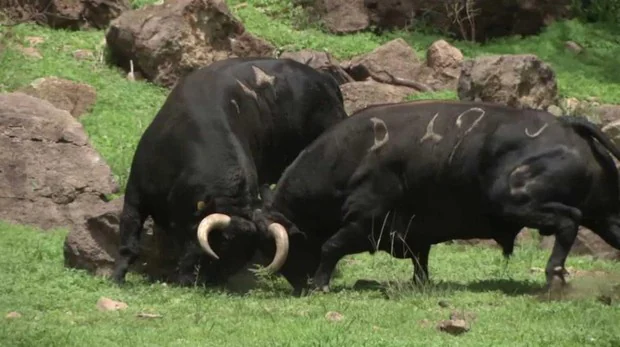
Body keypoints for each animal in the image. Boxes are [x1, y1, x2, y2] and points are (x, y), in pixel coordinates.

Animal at [260, 99, 620, 294]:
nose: (296, 284)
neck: (350, 155)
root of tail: (567, 125)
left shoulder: (365, 221)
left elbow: (331, 246)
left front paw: (320, 283)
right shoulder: (414, 235)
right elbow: (421, 264)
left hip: (512, 199)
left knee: (569, 221)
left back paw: (554, 274)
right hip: (607, 217)